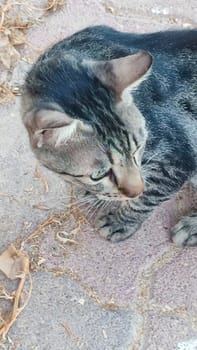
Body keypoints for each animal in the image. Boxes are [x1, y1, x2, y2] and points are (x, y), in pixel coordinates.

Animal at [20, 25, 197, 246]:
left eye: (138, 148)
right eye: (98, 174)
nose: (136, 190)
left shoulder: (178, 159)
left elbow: (148, 198)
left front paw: (120, 220)